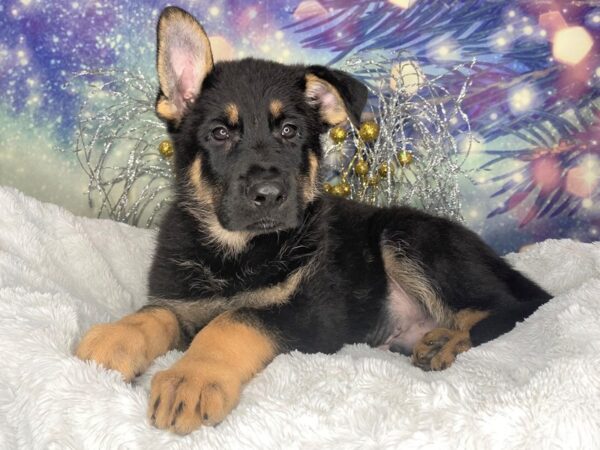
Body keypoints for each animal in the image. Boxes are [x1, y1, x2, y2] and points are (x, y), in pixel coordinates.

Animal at [76, 6, 552, 436]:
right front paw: (114, 338)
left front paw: (192, 377)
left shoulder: (310, 315)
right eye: (219, 133)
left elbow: (233, 322)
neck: (237, 251)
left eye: (289, 131)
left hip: (409, 235)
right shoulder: (181, 300)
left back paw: (449, 340)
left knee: (508, 309)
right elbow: (155, 314)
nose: (269, 195)